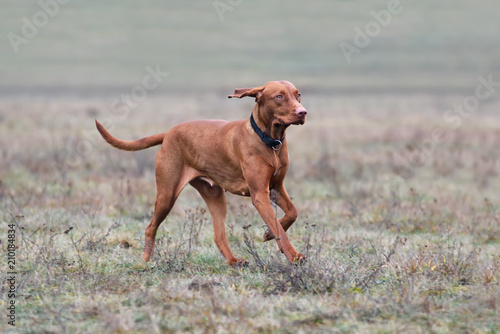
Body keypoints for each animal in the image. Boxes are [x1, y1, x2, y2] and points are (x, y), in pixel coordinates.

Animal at [95, 81, 306, 266]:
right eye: (279, 96)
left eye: (298, 95)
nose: (302, 112)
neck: (270, 141)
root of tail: (168, 133)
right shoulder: (260, 194)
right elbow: (278, 227)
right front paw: (294, 256)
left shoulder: (275, 187)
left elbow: (292, 212)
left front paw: (269, 234)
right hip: (167, 195)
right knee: (150, 228)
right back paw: (146, 262)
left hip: (215, 196)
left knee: (219, 236)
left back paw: (234, 261)